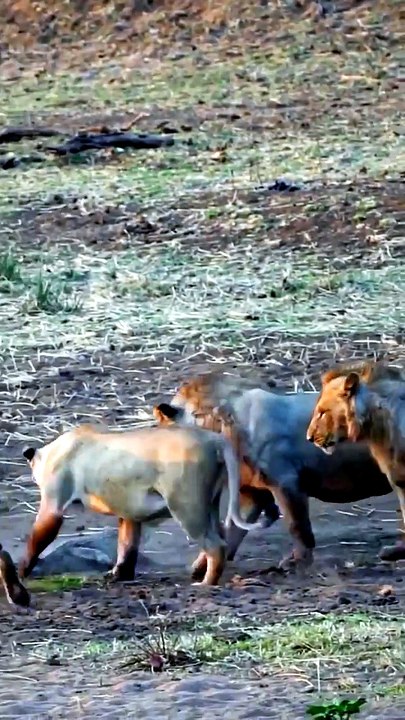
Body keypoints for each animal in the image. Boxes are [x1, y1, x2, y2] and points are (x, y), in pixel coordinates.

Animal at [19, 423, 262, 586]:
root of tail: (215, 439)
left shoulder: (53, 505)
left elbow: (37, 539)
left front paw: (21, 571)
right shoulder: (129, 512)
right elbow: (127, 545)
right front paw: (119, 575)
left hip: (186, 506)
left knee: (216, 546)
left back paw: (205, 583)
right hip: (208, 504)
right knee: (221, 534)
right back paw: (197, 571)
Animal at [154, 370, 392, 574]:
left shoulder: (286, 482)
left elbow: (297, 525)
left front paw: (298, 562)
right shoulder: (251, 492)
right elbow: (232, 529)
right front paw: (203, 566)